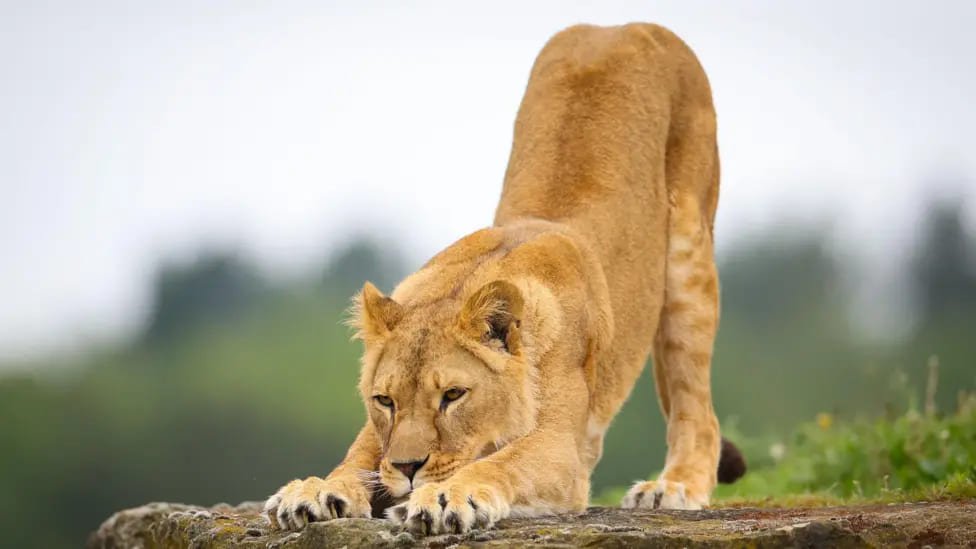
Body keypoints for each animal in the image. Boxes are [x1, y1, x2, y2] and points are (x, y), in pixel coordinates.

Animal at [264, 22, 745, 535]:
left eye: (453, 395)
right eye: (385, 401)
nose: (409, 468)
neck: (462, 286)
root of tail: (619, 25)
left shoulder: (563, 447)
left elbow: (500, 463)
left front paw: (447, 496)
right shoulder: (381, 439)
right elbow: (357, 457)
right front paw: (316, 489)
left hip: (688, 264)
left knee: (699, 411)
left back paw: (672, 488)